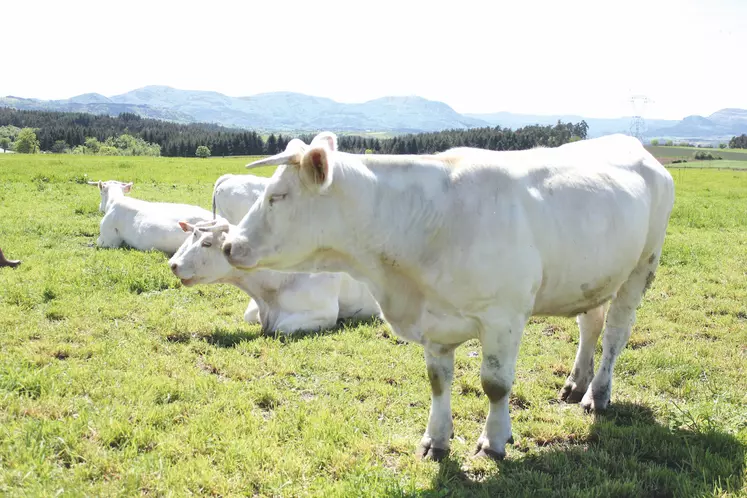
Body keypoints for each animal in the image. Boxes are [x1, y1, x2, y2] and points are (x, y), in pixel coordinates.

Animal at [221, 131, 676, 460]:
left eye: (278, 196)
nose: (229, 244)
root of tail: (634, 145)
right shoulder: (434, 319)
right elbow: (438, 382)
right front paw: (435, 440)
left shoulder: (503, 317)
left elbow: (495, 385)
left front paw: (494, 440)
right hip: (593, 274)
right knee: (590, 324)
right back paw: (575, 383)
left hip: (641, 267)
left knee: (615, 333)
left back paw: (597, 395)